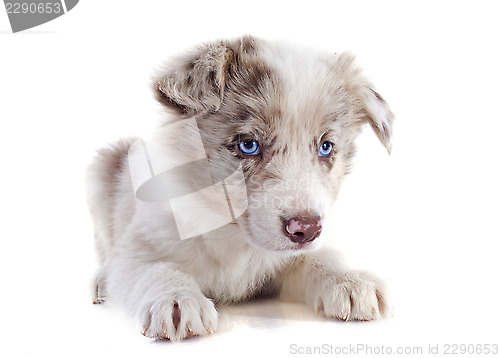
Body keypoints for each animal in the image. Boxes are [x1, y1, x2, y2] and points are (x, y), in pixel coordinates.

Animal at [87, 35, 394, 342]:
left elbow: (318, 257)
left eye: (326, 147)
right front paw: (176, 299)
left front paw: (350, 279)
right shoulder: (137, 247)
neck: (234, 237)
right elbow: (156, 268)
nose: (306, 229)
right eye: (249, 145)